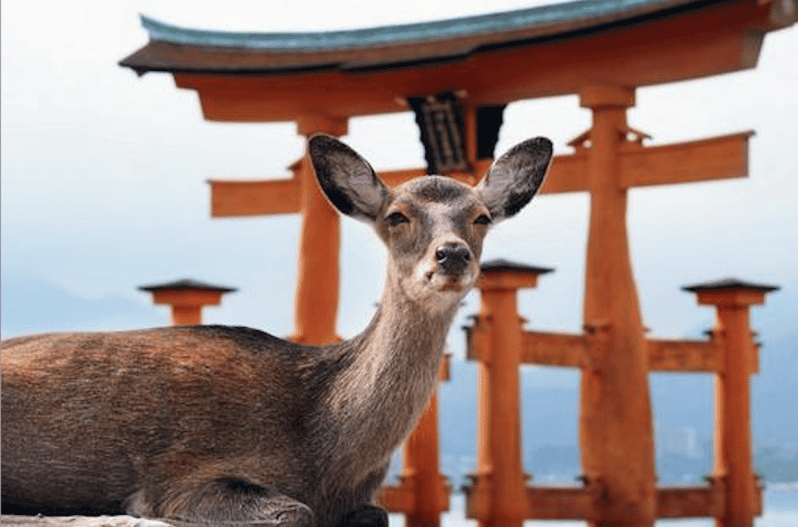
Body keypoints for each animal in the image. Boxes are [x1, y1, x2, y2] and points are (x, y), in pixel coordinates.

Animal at [0, 135, 552, 527]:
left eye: (482, 217)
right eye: (397, 215)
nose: (451, 254)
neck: (329, 451)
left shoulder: (364, 499)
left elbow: (376, 515)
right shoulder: (178, 474)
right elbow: (294, 511)